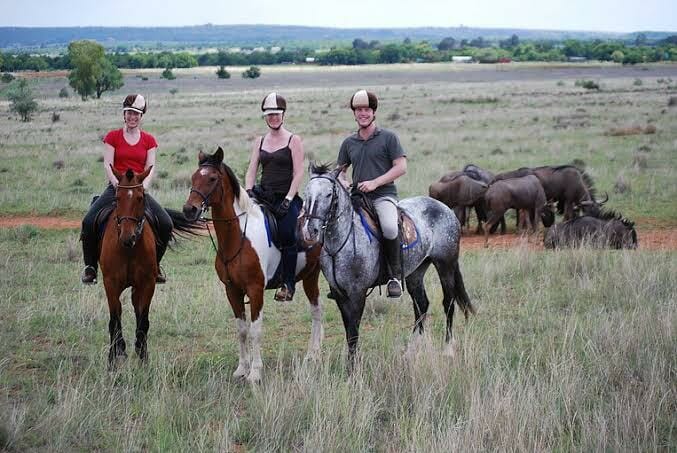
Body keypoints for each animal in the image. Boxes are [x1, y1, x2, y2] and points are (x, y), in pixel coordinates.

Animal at [100, 166, 201, 368]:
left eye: (140, 197)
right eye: (117, 198)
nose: (128, 237)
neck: (128, 250)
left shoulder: (147, 284)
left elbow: (143, 320)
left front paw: (143, 356)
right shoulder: (110, 284)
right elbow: (114, 320)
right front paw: (113, 359)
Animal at [182, 147, 324, 383]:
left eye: (212, 179)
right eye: (193, 177)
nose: (189, 210)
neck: (238, 237)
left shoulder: (255, 290)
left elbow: (256, 330)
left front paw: (255, 373)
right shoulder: (232, 290)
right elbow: (241, 329)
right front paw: (241, 369)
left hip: (313, 276)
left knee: (317, 312)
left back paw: (312, 355)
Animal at [301, 163, 475, 370]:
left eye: (329, 194)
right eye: (306, 194)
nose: (310, 230)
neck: (342, 241)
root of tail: (444, 208)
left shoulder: (357, 293)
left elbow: (353, 330)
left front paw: (352, 369)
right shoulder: (340, 294)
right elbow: (348, 330)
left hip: (445, 265)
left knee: (448, 303)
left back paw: (447, 350)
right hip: (416, 272)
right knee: (421, 305)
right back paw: (410, 352)